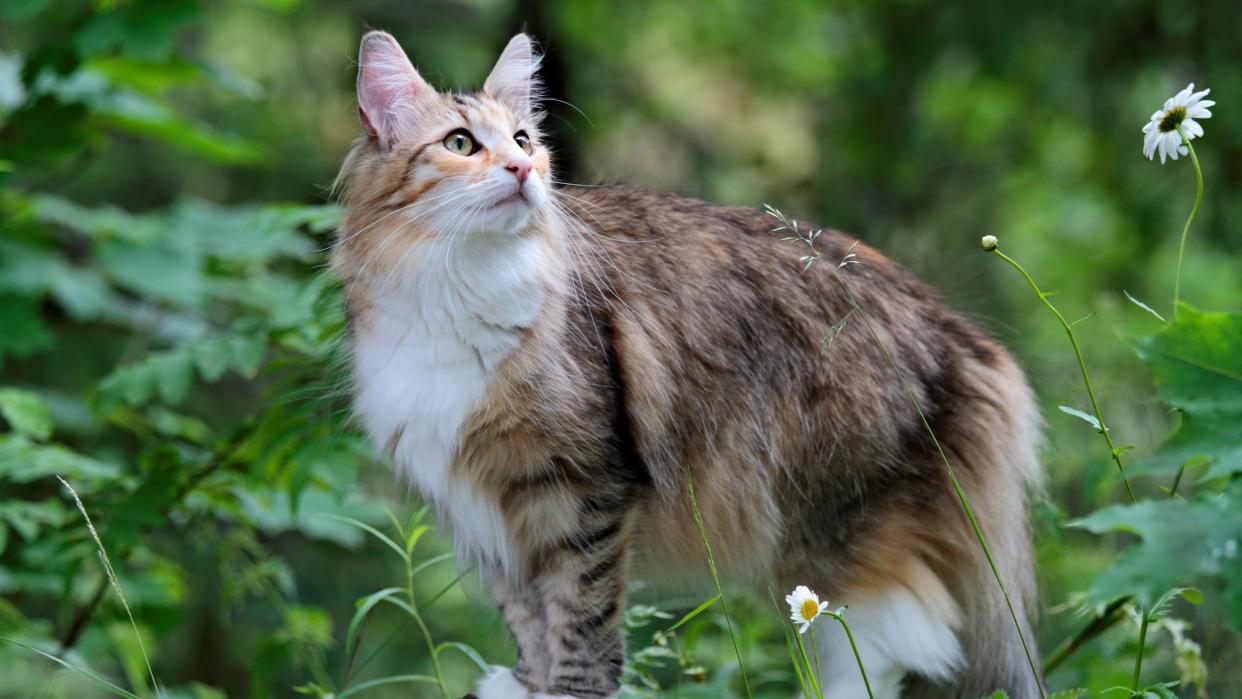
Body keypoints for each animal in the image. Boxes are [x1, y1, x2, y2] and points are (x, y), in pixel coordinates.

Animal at [332, 30, 1048, 695]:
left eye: (524, 139)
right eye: (459, 144)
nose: (522, 170)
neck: (454, 283)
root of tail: (963, 335)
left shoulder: (582, 487)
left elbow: (579, 612)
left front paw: (569, 690)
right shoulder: (481, 504)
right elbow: (527, 614)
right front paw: (529, 683)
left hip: (836, 538)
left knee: (873, 653)